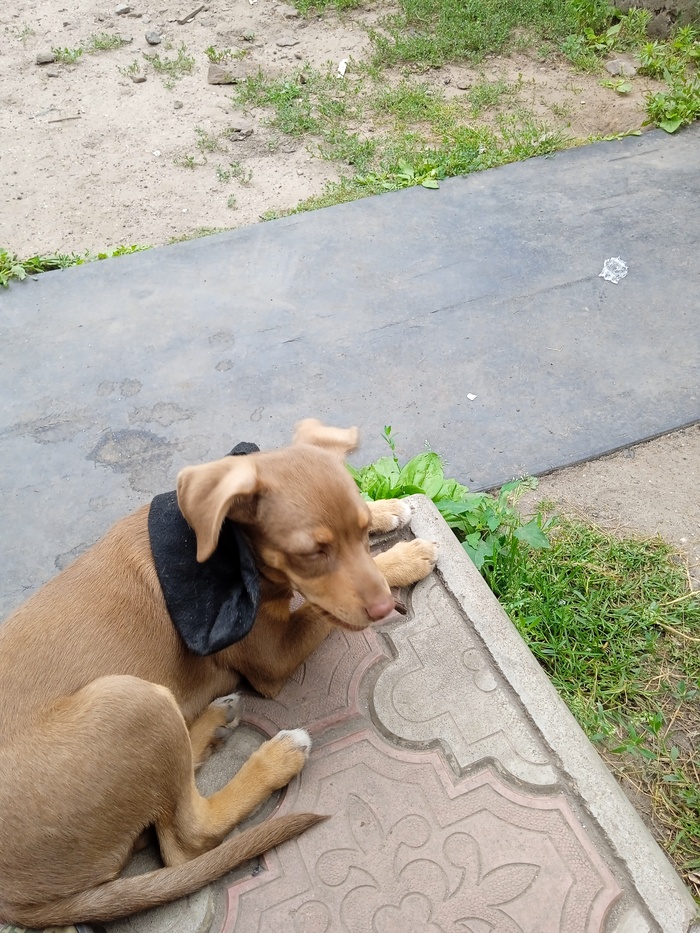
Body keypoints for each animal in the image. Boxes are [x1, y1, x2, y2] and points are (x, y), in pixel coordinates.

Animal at [0, 420, 437, 927]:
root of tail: (15, 900)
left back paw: (210, 724)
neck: (225, 546)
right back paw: (275, 760)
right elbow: (319, 609)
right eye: (311, 552)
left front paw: (387, 510)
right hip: (131, 701)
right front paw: (401, 561)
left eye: (362, 532)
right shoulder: (272, 654)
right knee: (186, 838)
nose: (387, 610)